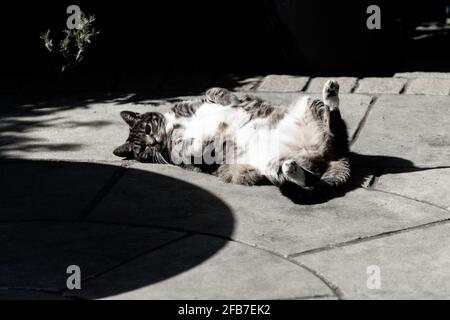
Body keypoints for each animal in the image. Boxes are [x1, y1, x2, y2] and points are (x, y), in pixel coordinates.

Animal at [113, 79, 352, 192]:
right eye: (142, 150)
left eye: (147, 129)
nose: (152, 141)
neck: (174, 126)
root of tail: (336, 156)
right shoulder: (182, 156)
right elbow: (188, 150)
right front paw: (203, 144)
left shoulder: (195, 102)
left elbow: (214, 91)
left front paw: (231, 100)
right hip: (269, 164)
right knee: (308, 179)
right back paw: (291, 169)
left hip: (309, 103)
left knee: (333, 127)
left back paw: (331, 94)